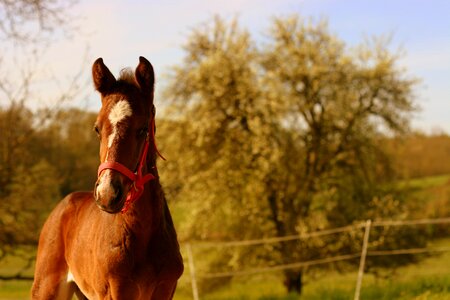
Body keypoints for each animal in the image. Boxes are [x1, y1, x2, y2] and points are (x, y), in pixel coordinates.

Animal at [31, 57, 184, 298]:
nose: (107, 194)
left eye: (143, 129)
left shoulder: (166, 289)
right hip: (46, 289)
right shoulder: (115, 291)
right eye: (96, 128)